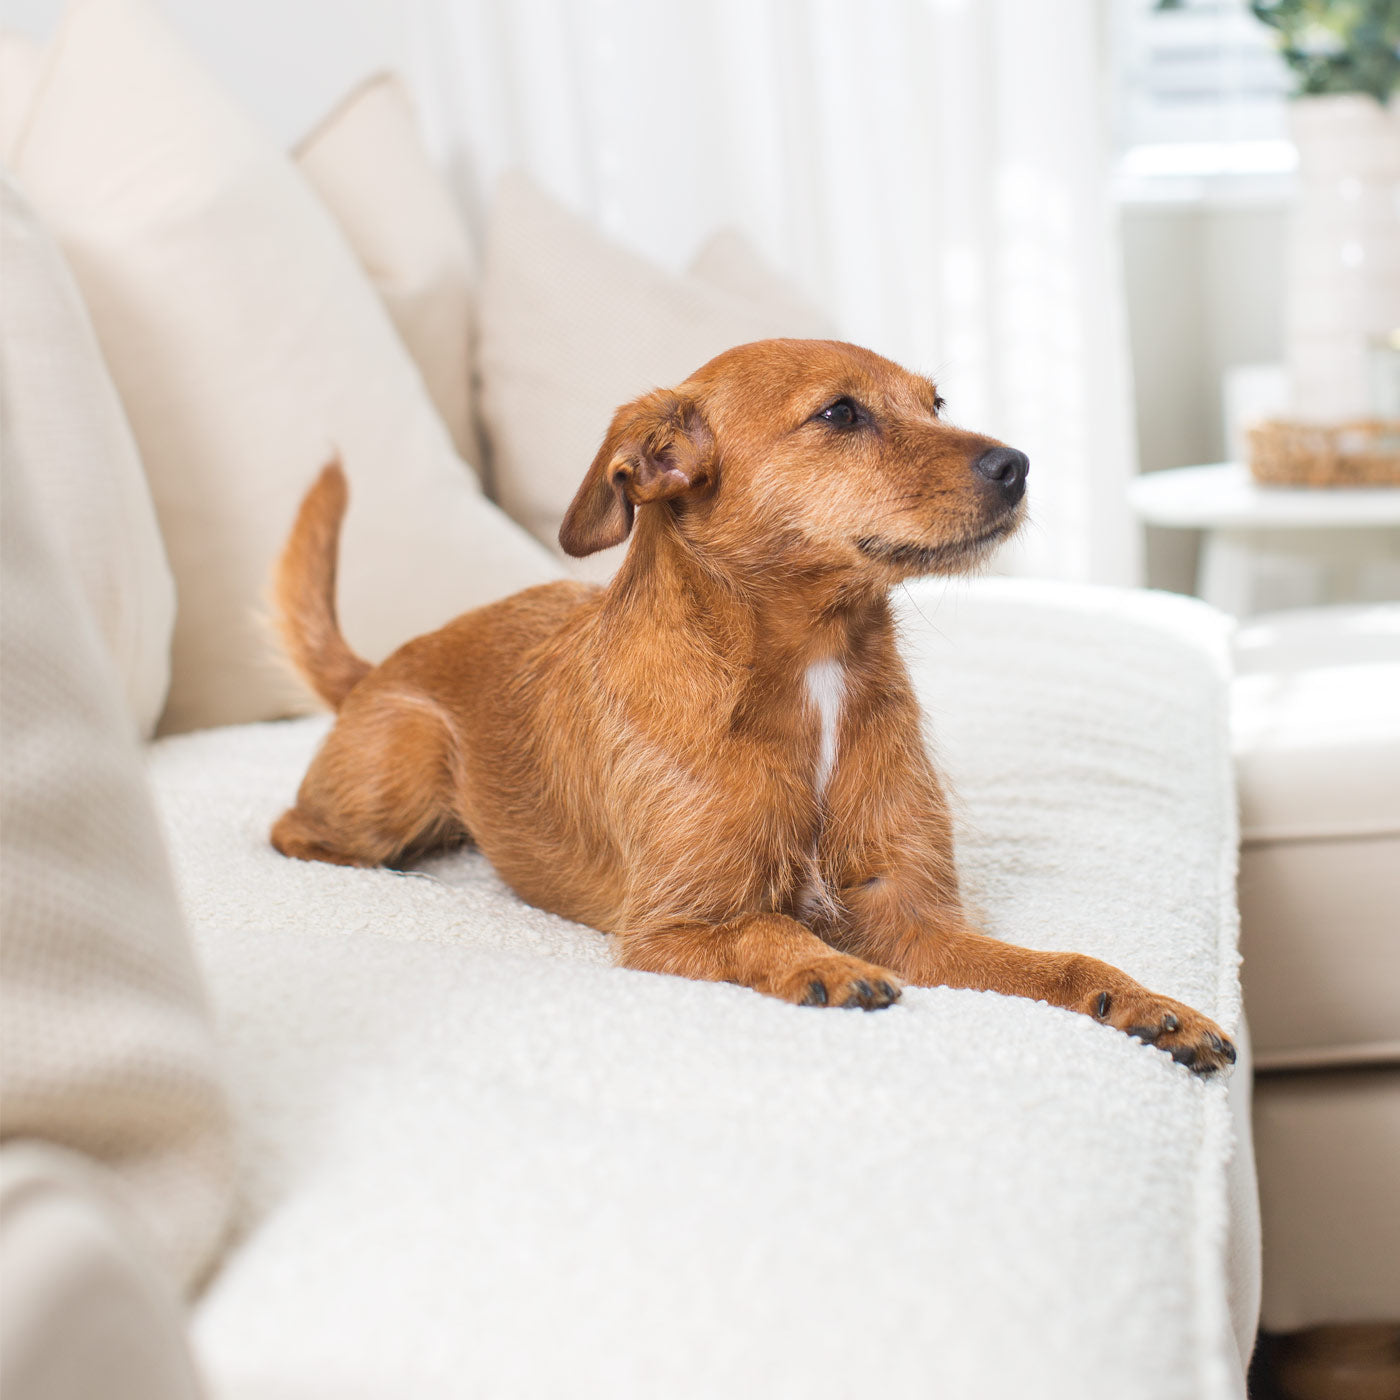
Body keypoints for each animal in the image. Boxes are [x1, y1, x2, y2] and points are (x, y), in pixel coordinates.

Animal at [270, 336, 1237, 1069]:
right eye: (840, 414)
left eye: (936, 401)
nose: (1019, 465)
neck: (815, 671)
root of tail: (378, 667)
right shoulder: (673, 927)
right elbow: (764, 929)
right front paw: (823, 965)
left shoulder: (912, 918)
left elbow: (1061, 964)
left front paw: (1149, 1005)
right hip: (401, 767)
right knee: (294, 830)